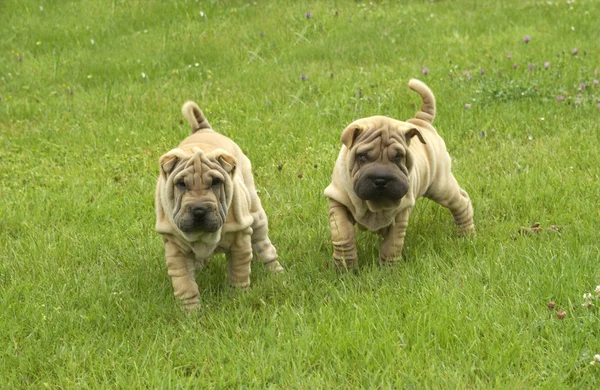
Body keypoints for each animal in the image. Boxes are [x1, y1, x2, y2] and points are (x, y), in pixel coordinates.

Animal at [157, 102, 284, 310]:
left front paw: (237, 300)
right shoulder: (175, 249)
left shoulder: (240, 240)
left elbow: (238, 274)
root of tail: (203, 129)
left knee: (264, 246)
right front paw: (190, 311)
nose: (199, 210)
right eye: (181, 184)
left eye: (216, 182)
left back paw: (276, 273)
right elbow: (185, 283)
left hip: (256, 214)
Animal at [326, 79, 476, 268]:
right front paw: (345, 266)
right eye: (362, 156)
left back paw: (467, 235)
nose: (381, 179)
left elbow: (392, 244)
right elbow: (343, 234)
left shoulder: (400, 215)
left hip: (441, 185)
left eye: (398, 157)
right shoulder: (338, 202)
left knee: (461, 202)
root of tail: (420, 121)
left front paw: (388, 269)